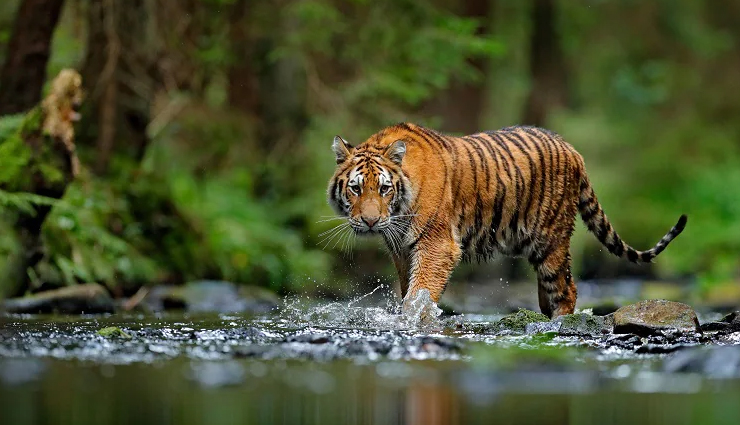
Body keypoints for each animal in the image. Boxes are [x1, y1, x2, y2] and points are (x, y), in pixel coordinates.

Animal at [327, 123, 687, 318]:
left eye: (384, 189)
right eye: (356, 189)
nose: (370, 222)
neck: (399, 211)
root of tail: (573, 149)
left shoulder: (437, 245)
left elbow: (420, 293)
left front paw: (414, 320)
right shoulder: (402, 250)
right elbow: (408, 290)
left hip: (551, 240)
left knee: (566, 289)